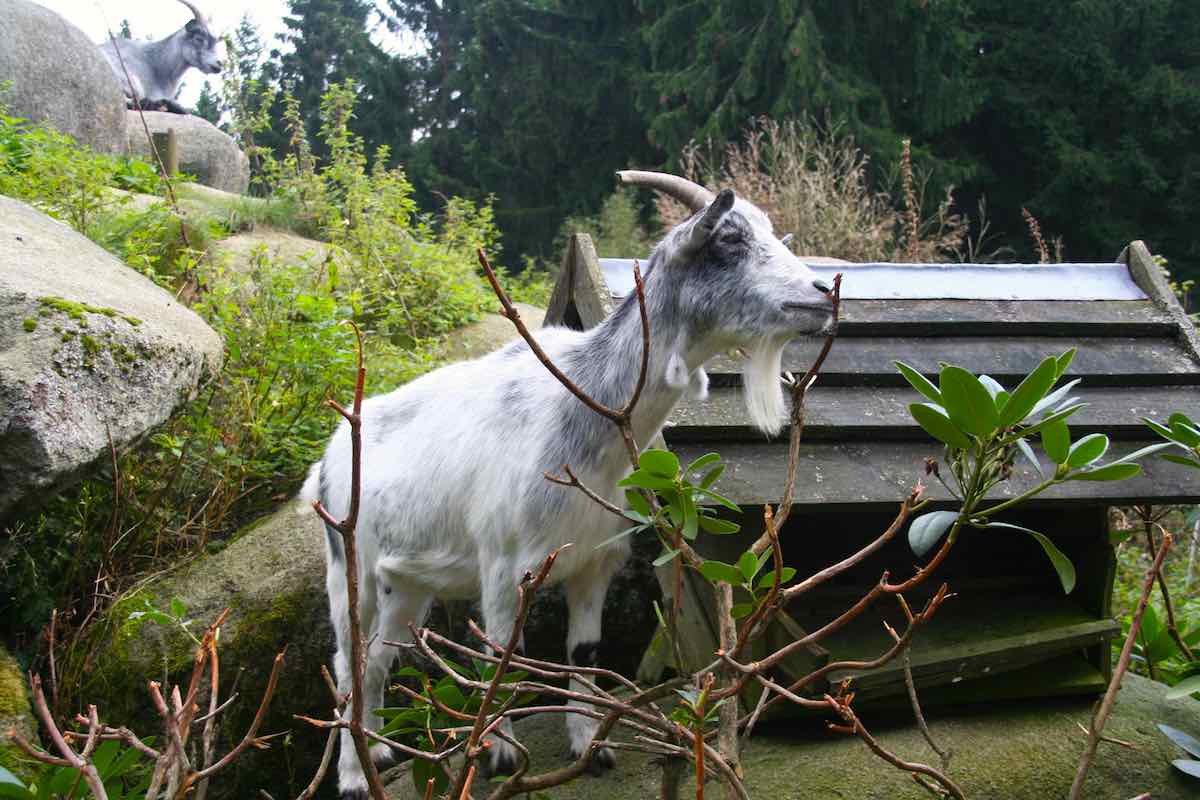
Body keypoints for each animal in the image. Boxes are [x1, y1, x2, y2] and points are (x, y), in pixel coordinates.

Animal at [300, 172, 835, 796]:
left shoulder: (595, 562)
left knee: (381, 657)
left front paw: (591, 748)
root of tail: (329, 458)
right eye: (728, 239)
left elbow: (584, 651)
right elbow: (503, 659)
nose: (823, 293)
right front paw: (502, 755)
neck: (587, 416)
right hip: (349, 565)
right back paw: (353, 775)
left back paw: (380, 753)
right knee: (348, 662)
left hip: (406, 582)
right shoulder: (504, 568)